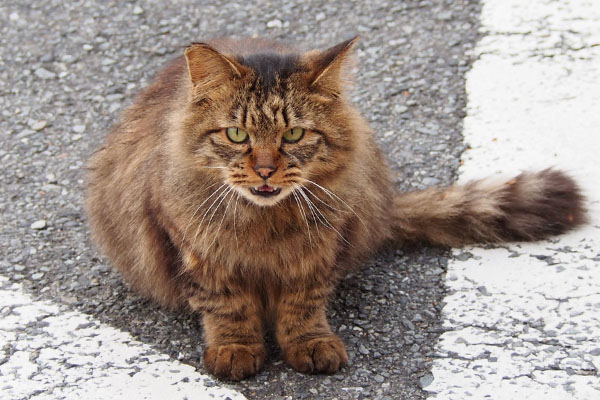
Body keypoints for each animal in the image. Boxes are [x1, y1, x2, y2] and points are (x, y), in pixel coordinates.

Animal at [85, 36, 584, 380]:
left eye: (293, 135)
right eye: (236, 135)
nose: (265, 170)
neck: (266, 224)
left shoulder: (323, 249)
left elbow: (303, 306)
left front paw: (310, 343)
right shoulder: (193, 249)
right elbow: (228, 306)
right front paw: (235, 349)